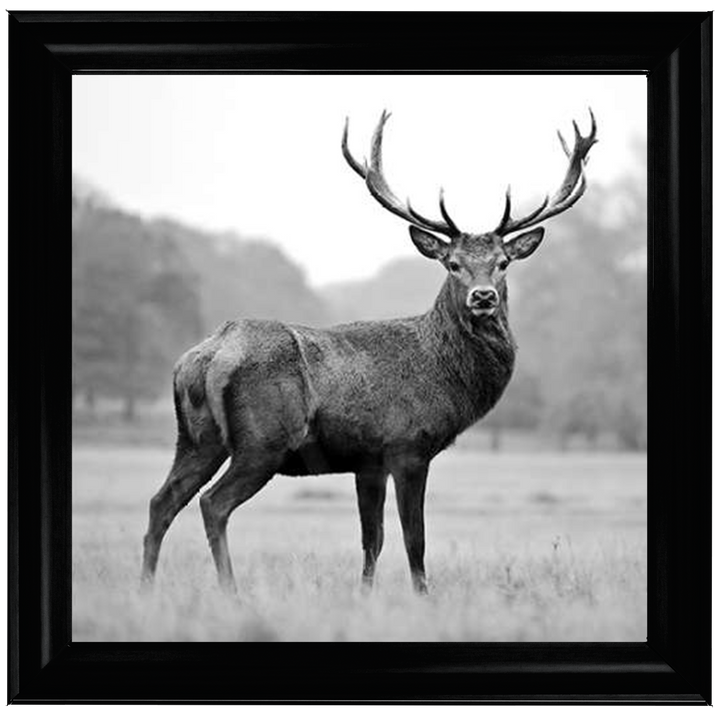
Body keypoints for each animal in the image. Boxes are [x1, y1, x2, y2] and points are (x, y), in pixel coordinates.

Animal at [141, 109, 597, 595]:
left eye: (503, 263)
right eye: (452, 263)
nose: (483, 297)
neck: (444, 376)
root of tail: (207, 356)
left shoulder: (368, 461)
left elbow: (371, 539)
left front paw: (365, 595)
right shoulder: (408, 446)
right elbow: (414, 538)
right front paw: (423, 596)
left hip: (196, 437)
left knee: (161, 501)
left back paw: (146, 587)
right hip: (263, 440)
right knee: (213, 503)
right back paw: (231, 592)